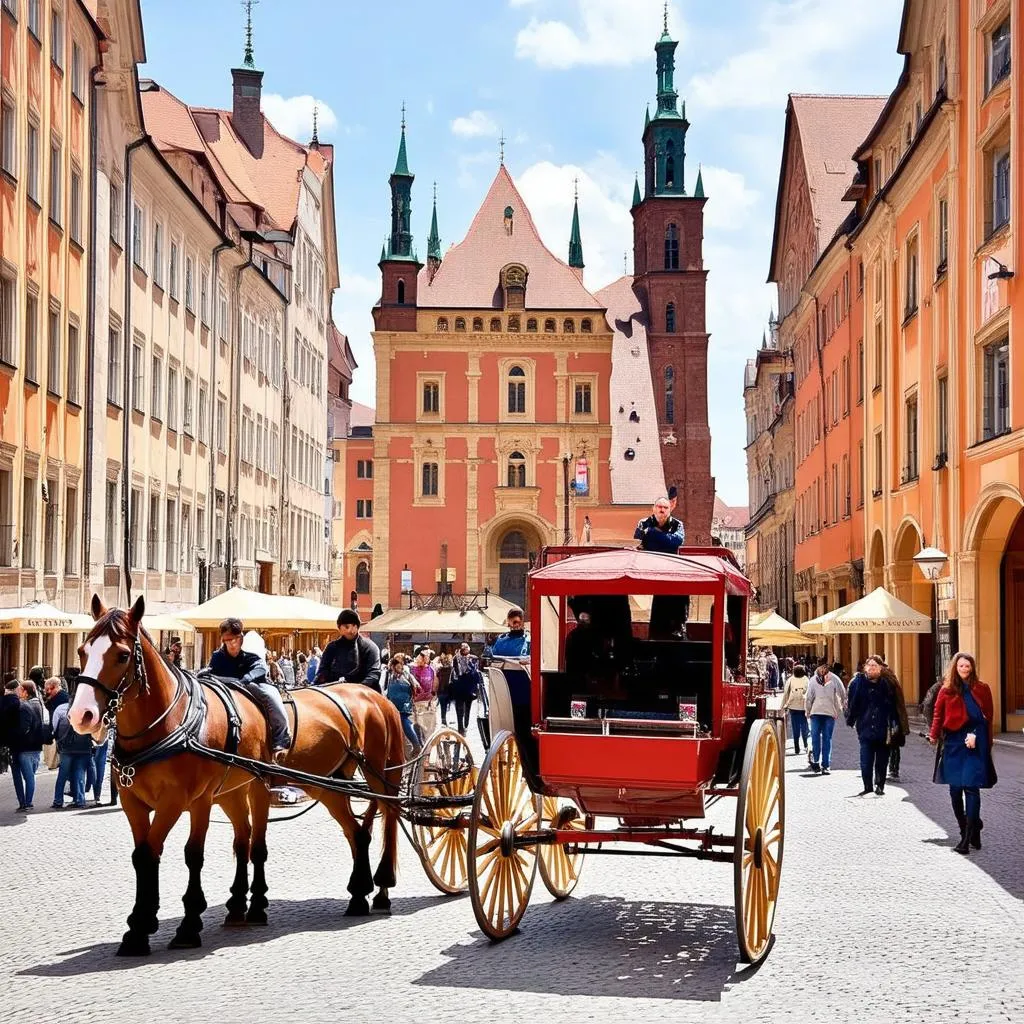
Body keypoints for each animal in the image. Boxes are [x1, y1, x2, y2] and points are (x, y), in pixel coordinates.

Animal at [66, 598, 403, 954]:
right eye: (83, 651)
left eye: (122, 655)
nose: (82, 715)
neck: (170, 723)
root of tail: (372, 697)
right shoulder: (135, 803)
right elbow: (144, 855)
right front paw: (139, 927)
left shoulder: (189, 801)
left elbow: (190, 855)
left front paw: (186, 925)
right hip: (320, 785)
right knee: (349, 834)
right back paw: (349, 895)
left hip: (368, 777)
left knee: (383, 816)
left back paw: (378, 889)